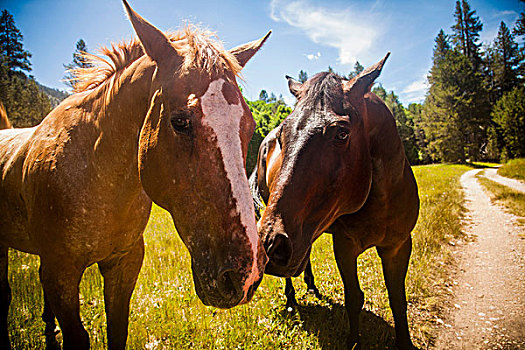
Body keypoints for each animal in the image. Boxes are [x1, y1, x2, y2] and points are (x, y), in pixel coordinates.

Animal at [0, 1, 268, 348]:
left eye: (249, 125)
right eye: (180, 122)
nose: (245, 274)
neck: (97, 179)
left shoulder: (123, 264)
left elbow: (117, 329)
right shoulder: (60, 272)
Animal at [250, 53, 418, 348]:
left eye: (342, 133)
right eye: (282, 135)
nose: (270, 245)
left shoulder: (398, 246)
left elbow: (398, 300)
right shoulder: (345, 245)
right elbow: (354, 298)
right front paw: (353, 341)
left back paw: (311, 285)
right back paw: (292, 299)